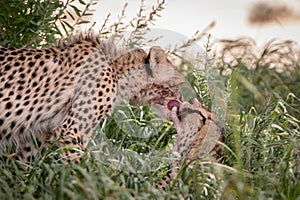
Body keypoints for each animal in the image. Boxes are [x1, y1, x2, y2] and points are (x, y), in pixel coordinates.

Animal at [0, 32, 184, 162]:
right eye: (180, 84)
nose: (182, 102)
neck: (118, 70)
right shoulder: (71, 130)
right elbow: (77, 167)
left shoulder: (38, 133)